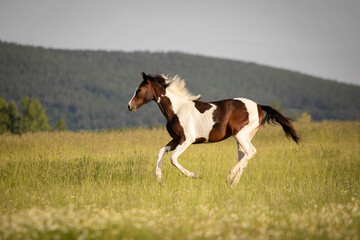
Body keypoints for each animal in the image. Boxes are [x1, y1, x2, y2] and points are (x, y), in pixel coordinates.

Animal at [128, 71, 300, 186]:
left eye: (139, 90)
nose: (130, 106)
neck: (177, 109)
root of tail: (258, 106)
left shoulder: (187, 139)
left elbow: (173, 159)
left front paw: (195, 175)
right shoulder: (176, 139)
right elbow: (160, 152)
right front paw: (159, 178)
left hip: (240, 134)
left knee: (251, 152)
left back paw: (230, 176)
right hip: (244, 137)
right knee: (244, 156)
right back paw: (233, 184)